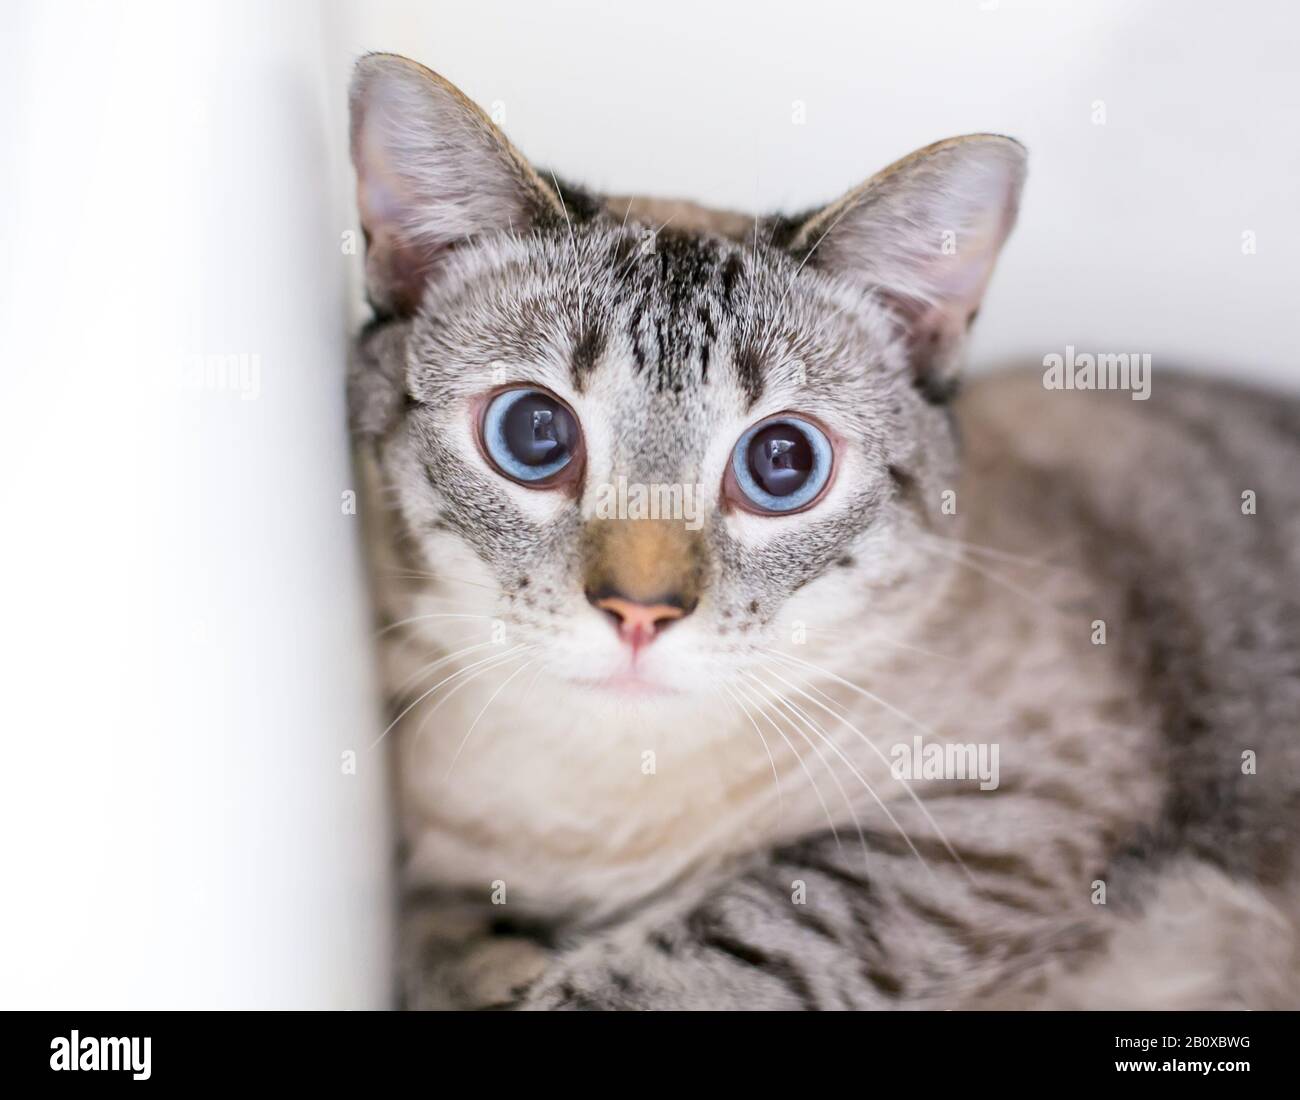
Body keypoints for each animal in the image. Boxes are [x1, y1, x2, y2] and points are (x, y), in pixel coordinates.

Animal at [345, 55, 1300, 1014]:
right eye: (535, 433)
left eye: (782, 461)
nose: (640, 612)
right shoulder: (437, 888)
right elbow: (435, 946)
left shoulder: (993, 828)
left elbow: (725, 944)